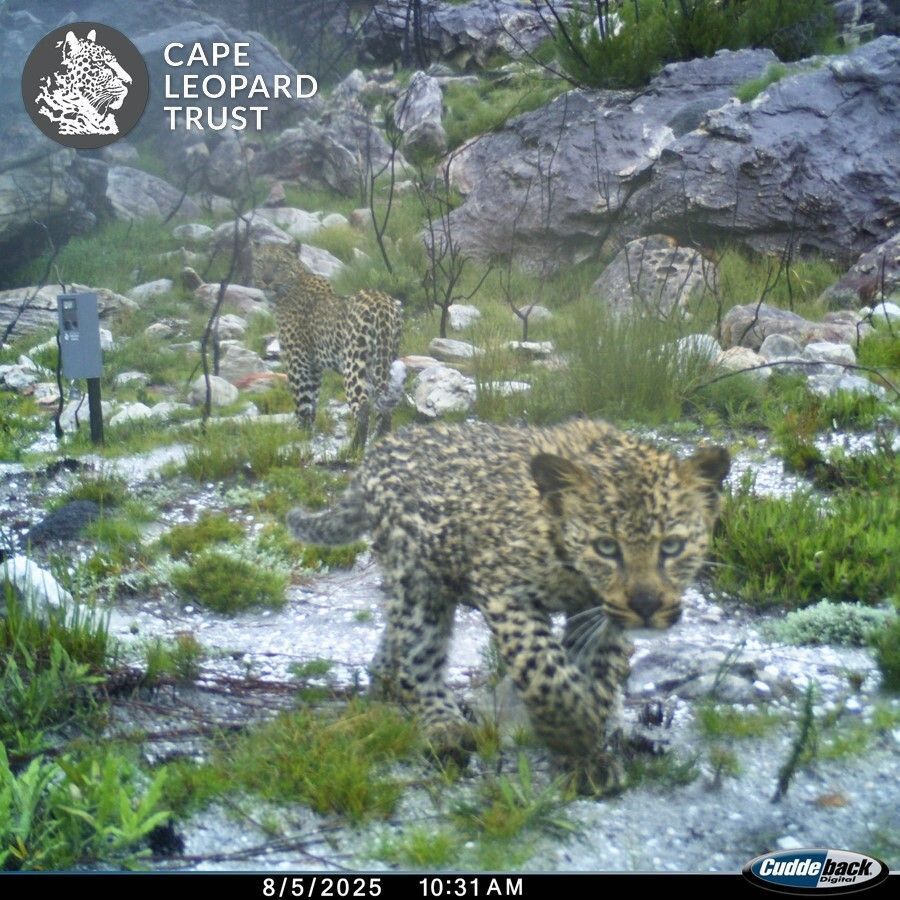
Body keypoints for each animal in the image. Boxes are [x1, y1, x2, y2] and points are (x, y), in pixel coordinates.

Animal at [251, 243, 402, 448]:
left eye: (279, 264)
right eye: (260, 262)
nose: (266, 280)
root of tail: (382, 302)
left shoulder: (298, 363)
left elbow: (302, 403)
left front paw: (300, 435)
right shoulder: (314, 367)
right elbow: (312, 400)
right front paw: (307, 433)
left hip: (354, 364)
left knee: (362, 408)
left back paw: (353, 449)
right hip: (386, 359)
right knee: (384, 406)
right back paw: (381, 439)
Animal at [287, 417, 730, 792]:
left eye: (672, 546)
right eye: (606, 547)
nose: (646, 606)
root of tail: (374, 454)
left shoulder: (601, 618)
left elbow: (597, 679)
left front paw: (589, 751)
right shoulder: (506, 593)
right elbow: (546, 670)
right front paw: (574, 736)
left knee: (394, 637)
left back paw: (383, 685)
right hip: (420, 583)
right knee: (418, 654)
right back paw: (442, 724)